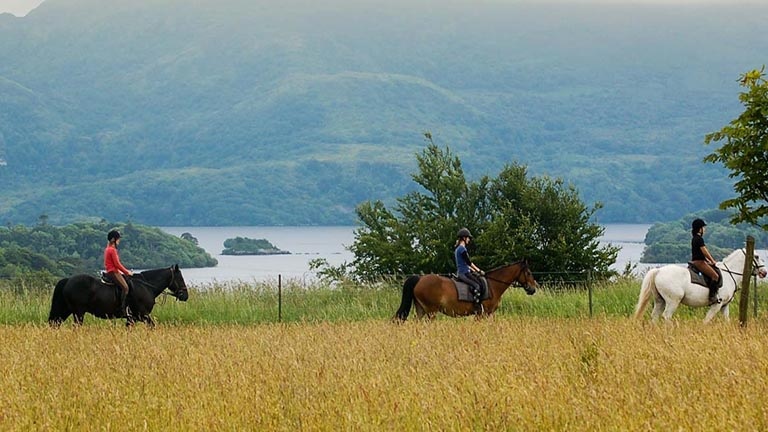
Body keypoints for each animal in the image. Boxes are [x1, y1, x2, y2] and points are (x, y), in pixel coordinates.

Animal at [48, 264, 189, 328]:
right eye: (180, 278)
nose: (185, 296)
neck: (146, 286)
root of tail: (68, 280)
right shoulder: (142, 315)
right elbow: (152, 326)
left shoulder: (132, 318)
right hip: (78, 312)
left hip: (66, 310)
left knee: (55, 323)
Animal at [392, 260, 536, 320]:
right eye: (528, 273)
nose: (533, 289)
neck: (493, 285)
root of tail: (420, 279)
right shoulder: (483, 313)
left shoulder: (488, 314)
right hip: (431, 311)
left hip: (421, 310)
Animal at [632, 248, 764, 322]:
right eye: (757, 256)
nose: (764, 272)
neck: (729, 274)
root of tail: (658, 271)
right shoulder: (716, 305)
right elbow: (706, 320)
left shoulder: (724, 306)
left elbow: (727, 321)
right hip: (673, 301)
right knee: (666, 316)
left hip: (660, 300)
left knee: (655, 316)